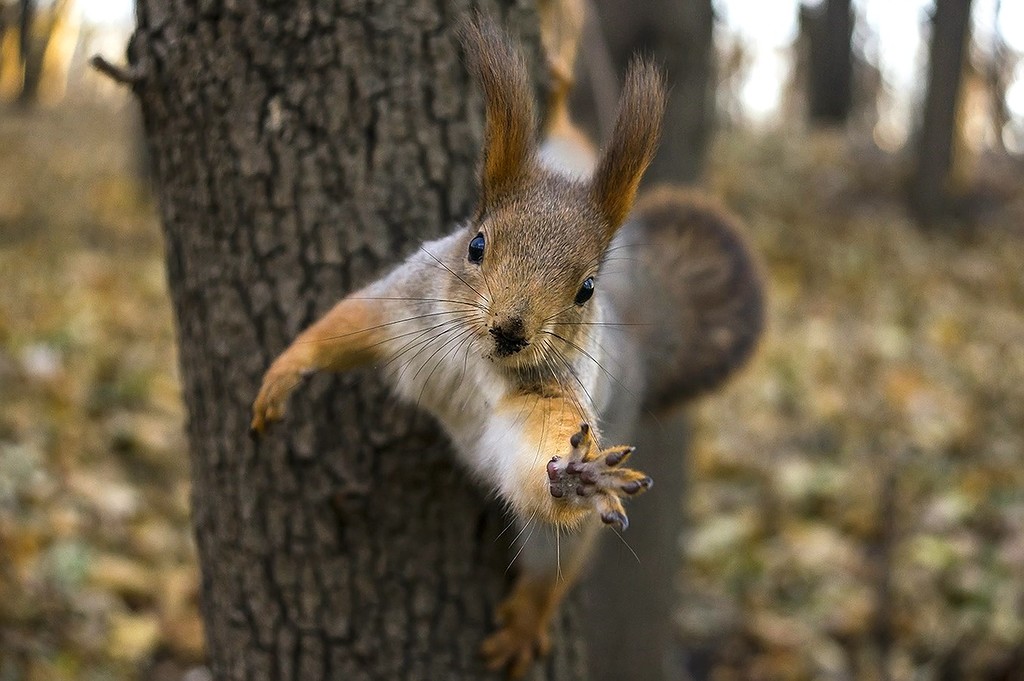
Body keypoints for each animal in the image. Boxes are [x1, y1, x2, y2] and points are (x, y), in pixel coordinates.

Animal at [247, 7, 761, 675]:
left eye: (585, 288)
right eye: (476, 245)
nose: (511, 331)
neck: (471, 358)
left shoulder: (549, 396)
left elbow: (533, 456)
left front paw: (575, 476)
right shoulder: (404, 304)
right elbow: (342, 325)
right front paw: (285, 371)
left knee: (554, 559)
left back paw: (527, 617)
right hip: (562, 147)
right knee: (565, 119)